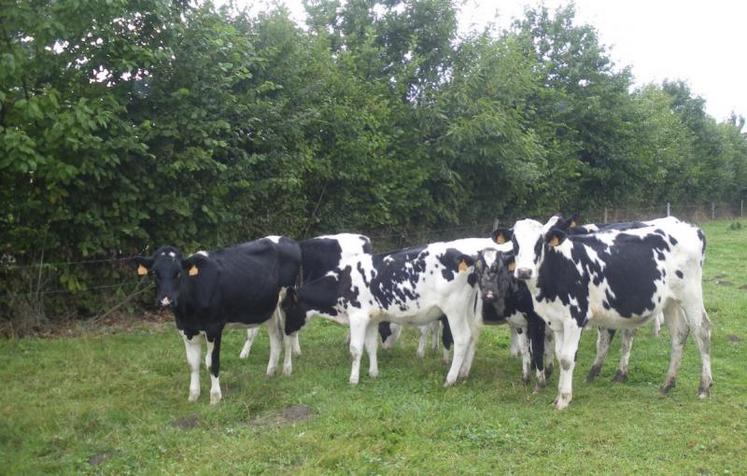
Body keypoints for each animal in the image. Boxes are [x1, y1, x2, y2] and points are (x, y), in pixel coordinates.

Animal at [134, 236, 300, 404]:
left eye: (179, 273)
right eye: (155, 273)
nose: (166, 300)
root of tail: (286, 239)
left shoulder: (214, 328)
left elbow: (211, 363)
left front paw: (215, 397)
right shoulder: (185, 329)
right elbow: (192, 363)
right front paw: (193, 395)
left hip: (287, 300)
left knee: (288, 336)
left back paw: (287, 369)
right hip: (269, 308)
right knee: (276, 337)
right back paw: (270, 372)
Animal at [280, 240, 496, 384]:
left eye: (287, 307)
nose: (286, 331)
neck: (343, 281)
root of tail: (467, 256)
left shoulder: (357, 316)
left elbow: (355, 349)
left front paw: (353, 379)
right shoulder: (372, 318)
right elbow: (370, 346)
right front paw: (373, 373)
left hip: (454, 309)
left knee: (462, 338)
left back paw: (450, 378)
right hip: (468, 308)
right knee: (473, 335)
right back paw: (464, 372)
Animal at [496, 216, 712, 410]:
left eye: (540, 241)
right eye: (514, 242)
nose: (524, 271)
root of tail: (692, 228)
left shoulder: (575, 318)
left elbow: (566, 359)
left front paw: (564, 399)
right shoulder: (556, 321)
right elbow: (559, 355)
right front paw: (558, 395)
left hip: (691, 294)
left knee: (702, 331)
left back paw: (704, 387)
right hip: (670, 301)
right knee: (679, 334)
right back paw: (667, 384)